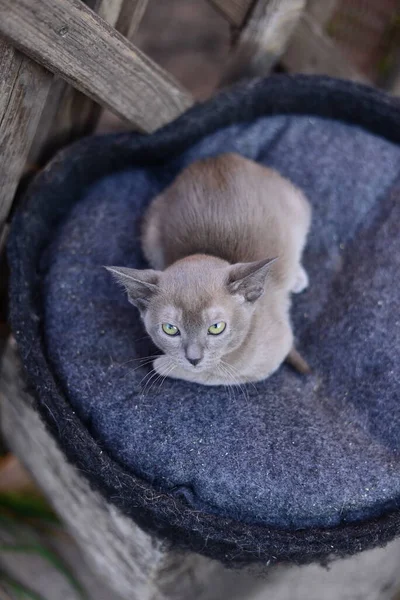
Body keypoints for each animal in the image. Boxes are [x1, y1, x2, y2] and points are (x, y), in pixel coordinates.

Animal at [107, 152, 312, 386]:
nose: (194, 358)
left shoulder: (274, 351)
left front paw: (165, 363)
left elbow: (213, 372)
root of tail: (217, 158)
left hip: (299, 209)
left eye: (216, 327)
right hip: (149, 233)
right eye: (170, 329)